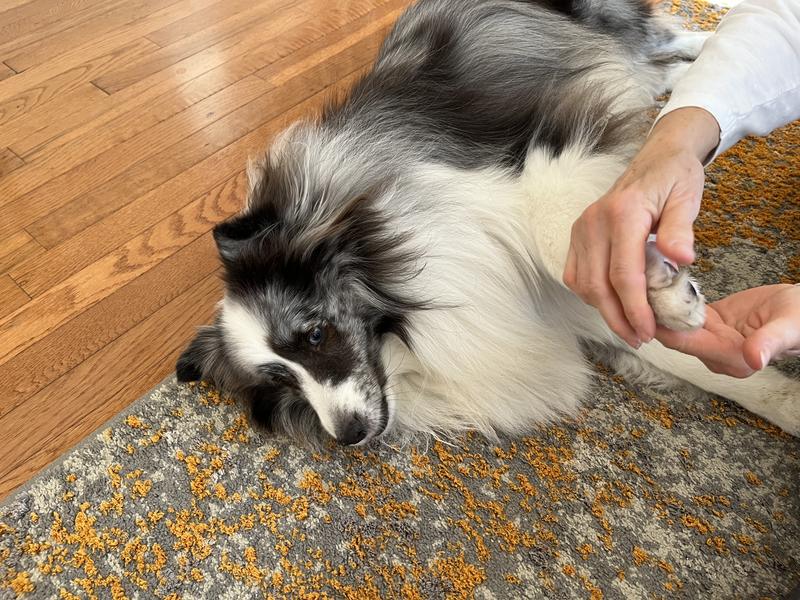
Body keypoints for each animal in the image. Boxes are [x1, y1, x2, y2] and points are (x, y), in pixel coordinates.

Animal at [176, 0, 800, 446]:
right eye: (279, 380)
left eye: (313, 334)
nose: (349, 436)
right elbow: (699, 360)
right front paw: (782, 398)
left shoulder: (543, 152)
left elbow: (559, 228)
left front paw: (666, 294)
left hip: (611, 23)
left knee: (681, 39)